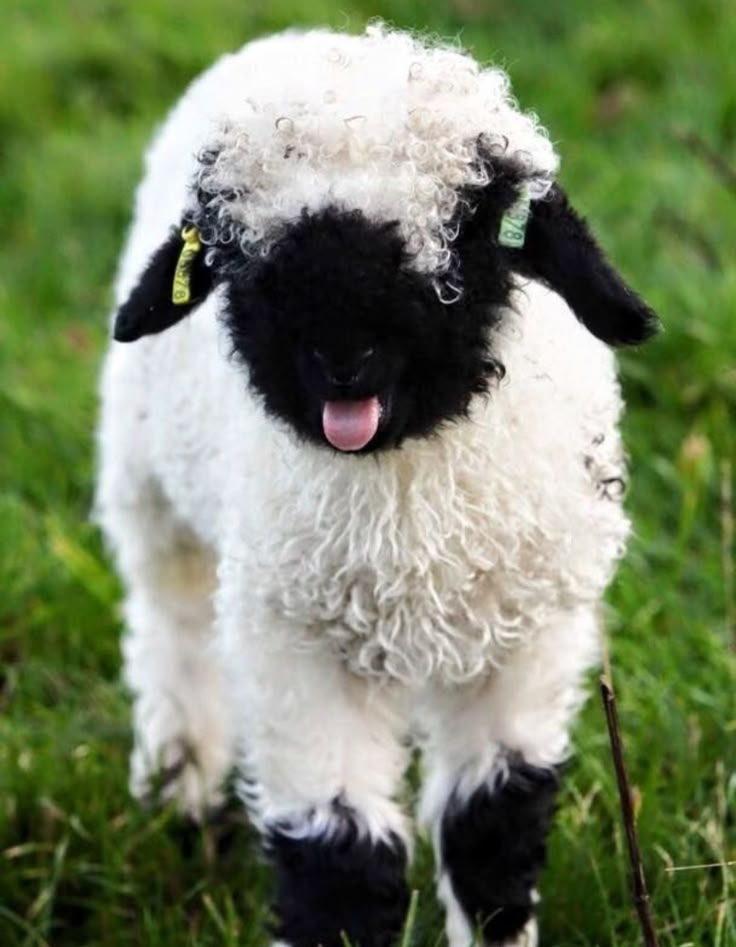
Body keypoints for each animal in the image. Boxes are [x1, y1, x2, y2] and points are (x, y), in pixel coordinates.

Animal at [96, 20, 656, 947]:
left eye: (467, 230)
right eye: (242, 254)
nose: (341, 356)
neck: (403, 508)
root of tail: (306, 32)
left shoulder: (527, 635)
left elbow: (492, 824)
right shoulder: (298, 644)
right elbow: (338, 860)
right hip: (149, 488)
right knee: (171, 625)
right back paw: (180, 779)